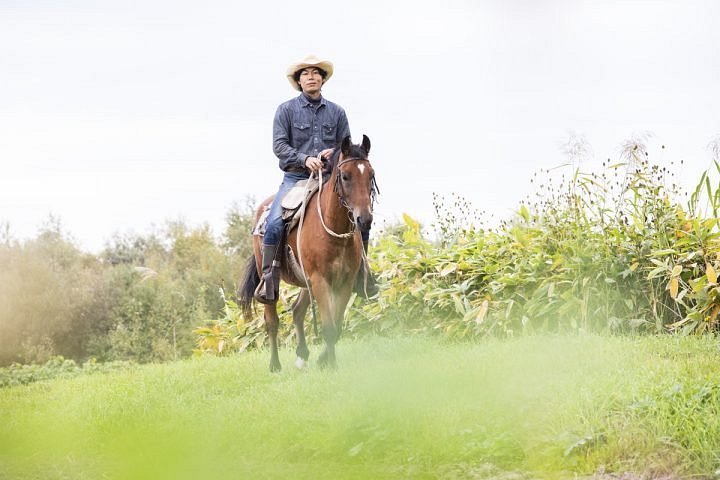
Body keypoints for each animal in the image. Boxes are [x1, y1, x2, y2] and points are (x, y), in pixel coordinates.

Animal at [239, 135, 377, 371]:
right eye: (345, 176)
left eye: (371, 175)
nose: (364, 219)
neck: (333, 229)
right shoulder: (320, 281)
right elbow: (329, 327)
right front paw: (332, 366)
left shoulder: (345, 282)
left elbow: (337, 325)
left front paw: (323, 360)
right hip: (272, 280)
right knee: (272, 321)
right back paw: (275, 365)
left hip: (306, 282)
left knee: (297, 311)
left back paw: (302, 356)